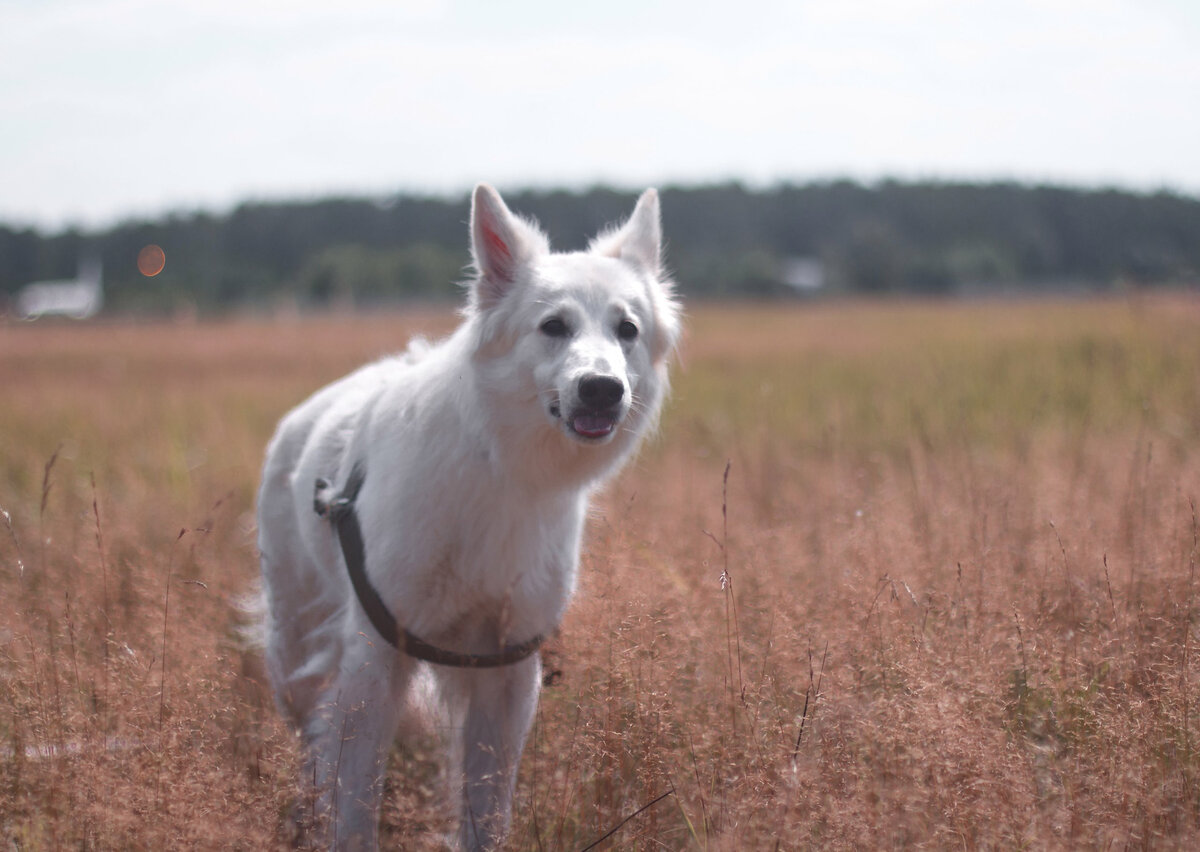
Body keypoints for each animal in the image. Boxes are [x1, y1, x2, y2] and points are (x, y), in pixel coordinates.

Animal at [258, 183, 681, 849]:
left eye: (627, 330)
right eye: (554, 327)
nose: (603, 388)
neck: (499, 468)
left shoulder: (508, 668)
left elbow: (487, 807)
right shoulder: (376, 659)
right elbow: (356, 800)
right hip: (293, 657)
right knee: (311, 741)